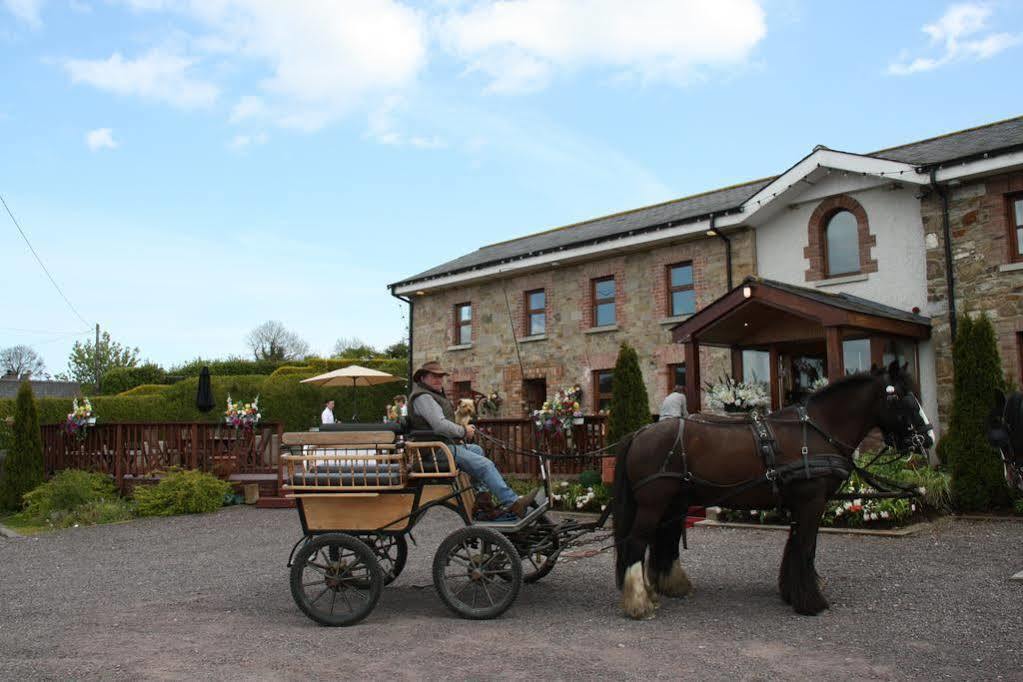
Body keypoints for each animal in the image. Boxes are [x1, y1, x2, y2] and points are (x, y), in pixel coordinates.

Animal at [609, 361, 932, 617]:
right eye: (902, 397)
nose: (926, 438)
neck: (817, 430)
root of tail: (640, 433)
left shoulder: (801, 503)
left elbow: (797, 546)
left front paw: (793, 591)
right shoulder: (812, 501)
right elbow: (806, 548)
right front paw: (811, 601)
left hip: (675, 502)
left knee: (664, 540)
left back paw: (666, 587)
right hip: (653, 503)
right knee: (636, 542)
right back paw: (639, 602)